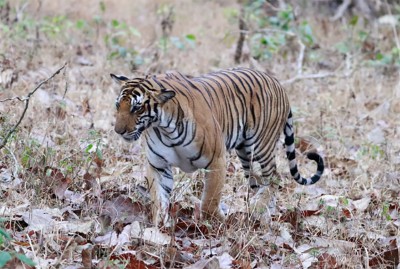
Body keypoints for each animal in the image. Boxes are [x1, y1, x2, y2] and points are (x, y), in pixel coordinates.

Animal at [110, 66, 324, 224]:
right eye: (118, 105)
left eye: (137, 108)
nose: (118, 131)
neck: (163, 127)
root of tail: (277, 82)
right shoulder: (158, 165)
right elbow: (158, 200)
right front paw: (159, 228)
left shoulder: (216, 161)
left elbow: (209, 201)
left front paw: (219, 221)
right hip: (246, 154)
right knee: (258, 182)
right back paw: (262, 212)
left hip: (261, 147)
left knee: (274, 178)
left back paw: (259, 209)